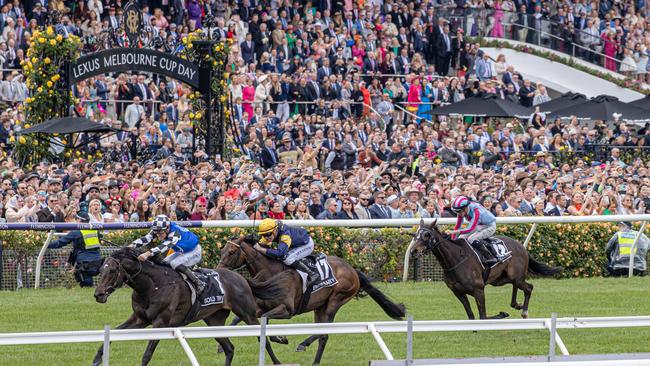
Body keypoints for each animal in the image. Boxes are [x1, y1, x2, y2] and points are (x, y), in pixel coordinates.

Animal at [92, 246, 280, 366]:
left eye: (112, 271)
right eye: (101, 270)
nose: (98, 294)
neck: (152, 286)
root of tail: (240, 277)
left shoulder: (160, 323)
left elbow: (147, 355)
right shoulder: (139, 319)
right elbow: (112, 335)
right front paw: (97, 359)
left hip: (247, 314)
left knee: (263, 340)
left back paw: (277, 361)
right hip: (214, 321)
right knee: (229, 348)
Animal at [215, 236, 402, 364]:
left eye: (231, 252)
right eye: (221, 251)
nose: (218, 271)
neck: (271, 272)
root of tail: (353, 270)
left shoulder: (286, 309)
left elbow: (265, 321)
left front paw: (281, 338)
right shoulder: (259, 307)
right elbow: (241, 319)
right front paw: (220, 344)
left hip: (335, 300)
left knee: (324, 332)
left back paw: (305, 345)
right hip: (320, 306)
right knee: (322, 334)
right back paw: (313, 358)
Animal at [408, 220, 560, 320]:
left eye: (427, 235)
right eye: (415, 234)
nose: (413, 250)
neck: (455, 260)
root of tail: (521, 246)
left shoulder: (479, 289)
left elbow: (483, 316)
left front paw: (501, 314)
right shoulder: (458, 292)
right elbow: (471, 316)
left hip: (515, 276)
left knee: (529, 287)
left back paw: (524, 311)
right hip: (501, 279)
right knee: (517, 286)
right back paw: (517, 305)